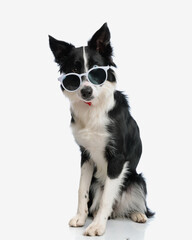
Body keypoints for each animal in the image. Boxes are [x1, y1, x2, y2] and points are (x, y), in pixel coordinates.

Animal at [48, 23, 154, 236]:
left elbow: (107, 198)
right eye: (74, 71)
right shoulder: (86, 155)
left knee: (133, 203)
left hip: (137, 179)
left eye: (96, 71)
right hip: (98, 182)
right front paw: (80, 218)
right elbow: (82, 190)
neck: (93, 110)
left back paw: (138, 214)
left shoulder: (117, 158)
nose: (86, 91)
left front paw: (97, 226)